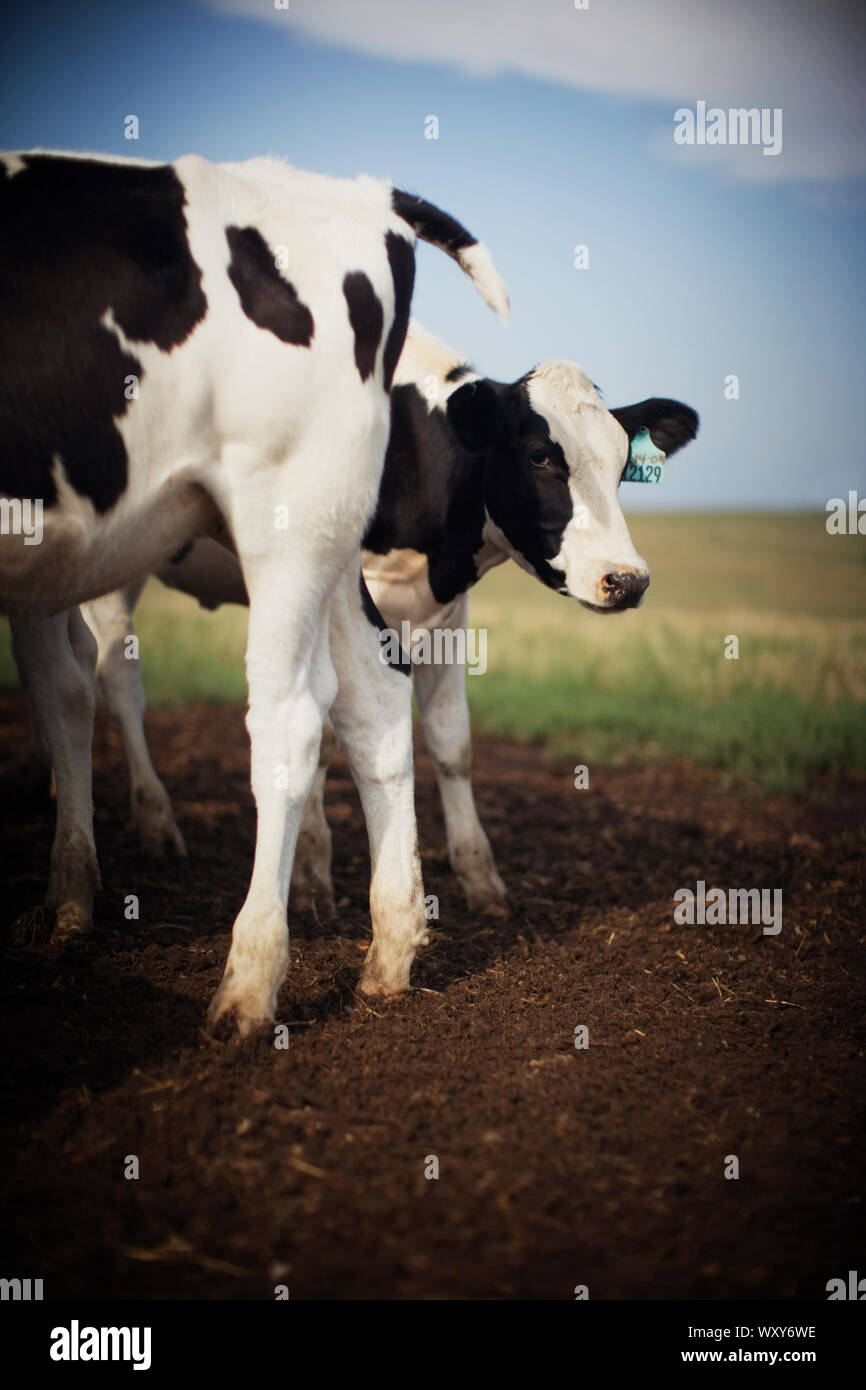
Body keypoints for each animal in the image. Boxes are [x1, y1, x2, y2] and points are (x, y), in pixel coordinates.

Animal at [1, 150, 509, 1034]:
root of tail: (369, 192)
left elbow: (66, 685)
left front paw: (72, 899)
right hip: (319, 548)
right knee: (372, 702)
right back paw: (385, 955)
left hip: (285, 522)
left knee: (283, 716)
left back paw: (246, 978)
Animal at [14, 319, 698, 931]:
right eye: (538, 456)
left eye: (621, 466)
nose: (627, 580)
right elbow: (324, 739)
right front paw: (313, 878)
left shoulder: (447, 612)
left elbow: (453, 742)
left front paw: (482, 878)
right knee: (114, 678)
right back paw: (152, 819)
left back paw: (50, 783)